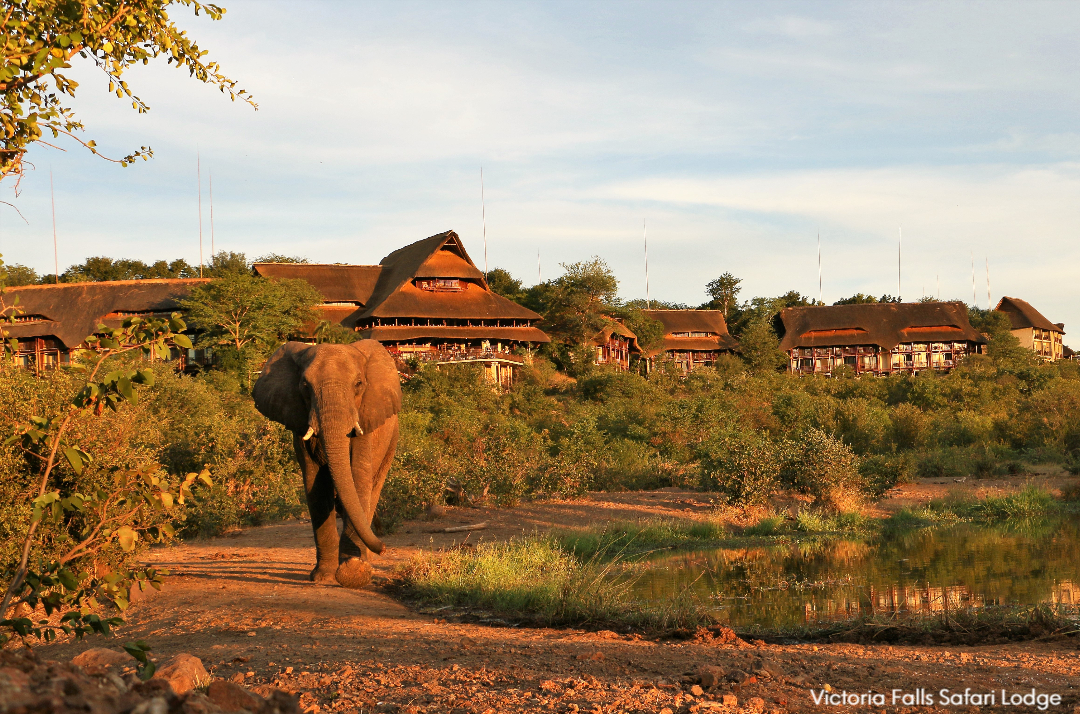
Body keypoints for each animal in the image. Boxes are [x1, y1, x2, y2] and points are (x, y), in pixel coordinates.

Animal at [251, 343, 401, 587]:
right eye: (304, 385)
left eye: (359, 384)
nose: (384, 548)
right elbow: (316, 486)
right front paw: (323, 577)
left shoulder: (365, 418)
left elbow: (359, 478)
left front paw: (353, 574)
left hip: (392, 441)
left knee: (374, 486)